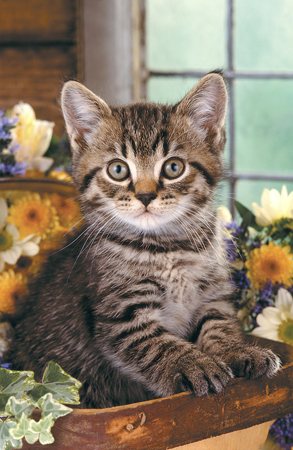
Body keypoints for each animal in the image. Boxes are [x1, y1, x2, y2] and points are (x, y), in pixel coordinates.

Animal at [5, 73, 280, 408]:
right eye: (118, 169)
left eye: (173, 167)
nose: (146, 195)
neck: (167, 247)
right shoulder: (121, 316)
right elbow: (158, 345)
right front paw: (195, 364)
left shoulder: (212, 295)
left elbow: (219, 325)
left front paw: (237, 351)